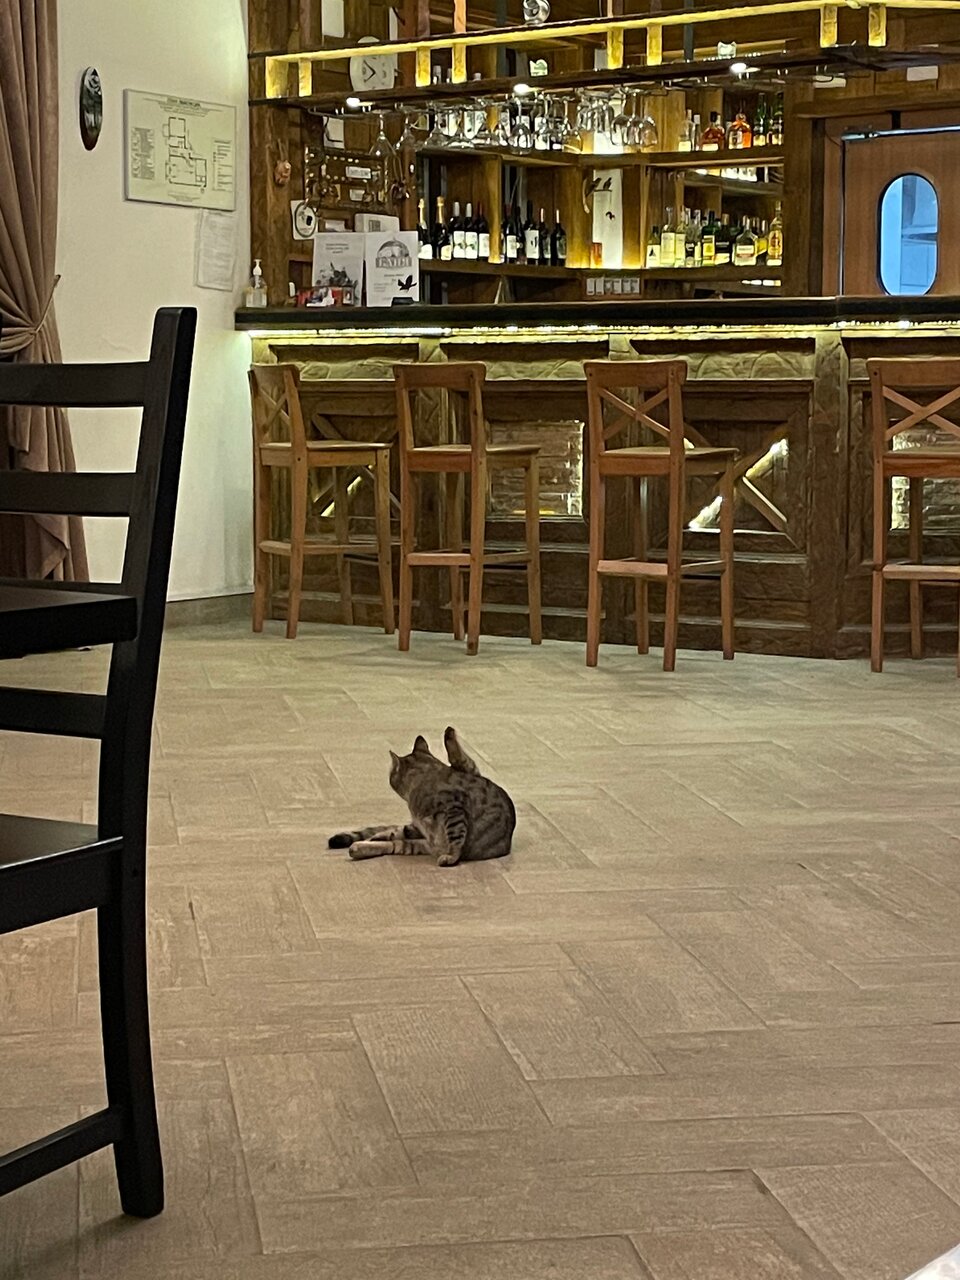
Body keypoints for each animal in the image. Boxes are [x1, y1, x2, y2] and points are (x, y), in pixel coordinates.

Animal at [328, 726, 515, 866]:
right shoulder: (421, 828)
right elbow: (397, 833)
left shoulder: (454, 806)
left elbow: (456, 837)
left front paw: (451, 857)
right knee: (395, 839)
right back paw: (360, 846)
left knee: (464, 761)